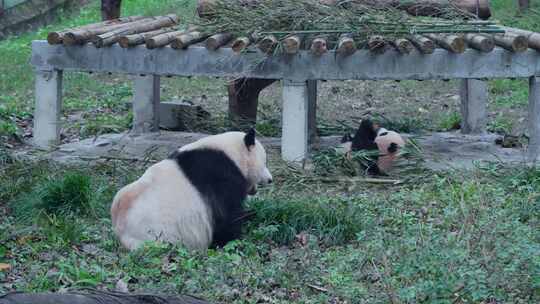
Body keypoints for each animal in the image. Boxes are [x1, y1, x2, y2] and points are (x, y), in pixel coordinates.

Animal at [109, 129, 272, 251]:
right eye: (264, 162)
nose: (270, 180)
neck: (231, 153)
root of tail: (121, 233)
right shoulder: (220, 176)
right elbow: (226, 215)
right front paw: (230, 242)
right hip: (157, 233)